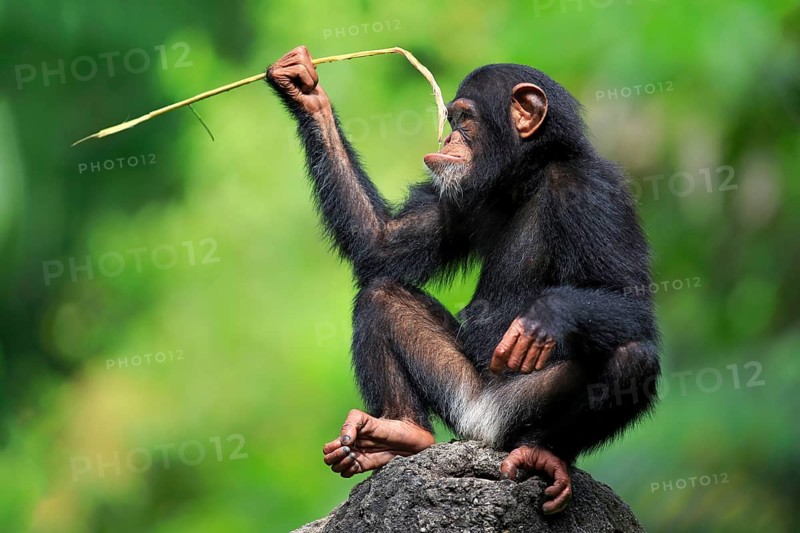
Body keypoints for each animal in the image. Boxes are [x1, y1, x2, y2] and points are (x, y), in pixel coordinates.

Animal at [266, 46, 660, 515]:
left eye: (465, 120)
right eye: (451, 121)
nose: (448, 140)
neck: (528, 174)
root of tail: (480, 430)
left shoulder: (596, 192)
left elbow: (631, 299)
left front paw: (545, 317)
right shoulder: (460, 194)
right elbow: (382, 244)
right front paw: (305, 89)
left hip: (515, 414)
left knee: (632, 357)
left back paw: (543, 454)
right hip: (460, 391)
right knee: (381, 295)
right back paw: (398, 434)